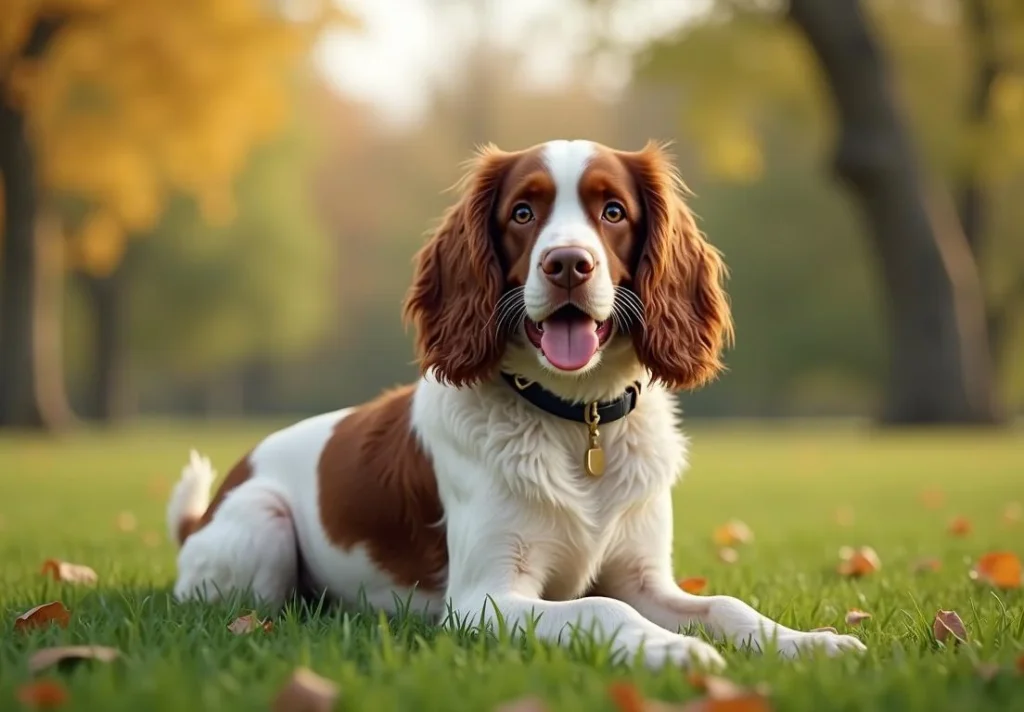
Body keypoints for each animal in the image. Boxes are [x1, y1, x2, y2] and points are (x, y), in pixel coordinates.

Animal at [165, 138, 864, 667]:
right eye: (523, 213)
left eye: (614, 211)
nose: (568, 264)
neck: (578, 420)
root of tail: (204, 512)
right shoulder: (484, 598)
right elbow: (601, 606)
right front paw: (674, 652)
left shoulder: (646, 579)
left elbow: (726, 605)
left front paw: (811, 643)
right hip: (264, 520)